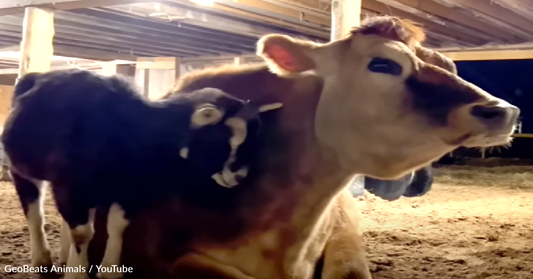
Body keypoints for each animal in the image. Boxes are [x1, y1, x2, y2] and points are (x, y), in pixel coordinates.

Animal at [1, 69, 282, 279]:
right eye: (220, 141)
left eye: (251, 142)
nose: (238, 177)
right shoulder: (73, 188)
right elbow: (83, 232)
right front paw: (77, 274)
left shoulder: (129, 190)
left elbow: (117, 226)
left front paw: (110, 270)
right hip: (21, 170)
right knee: (35, 214)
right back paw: (42, 259)